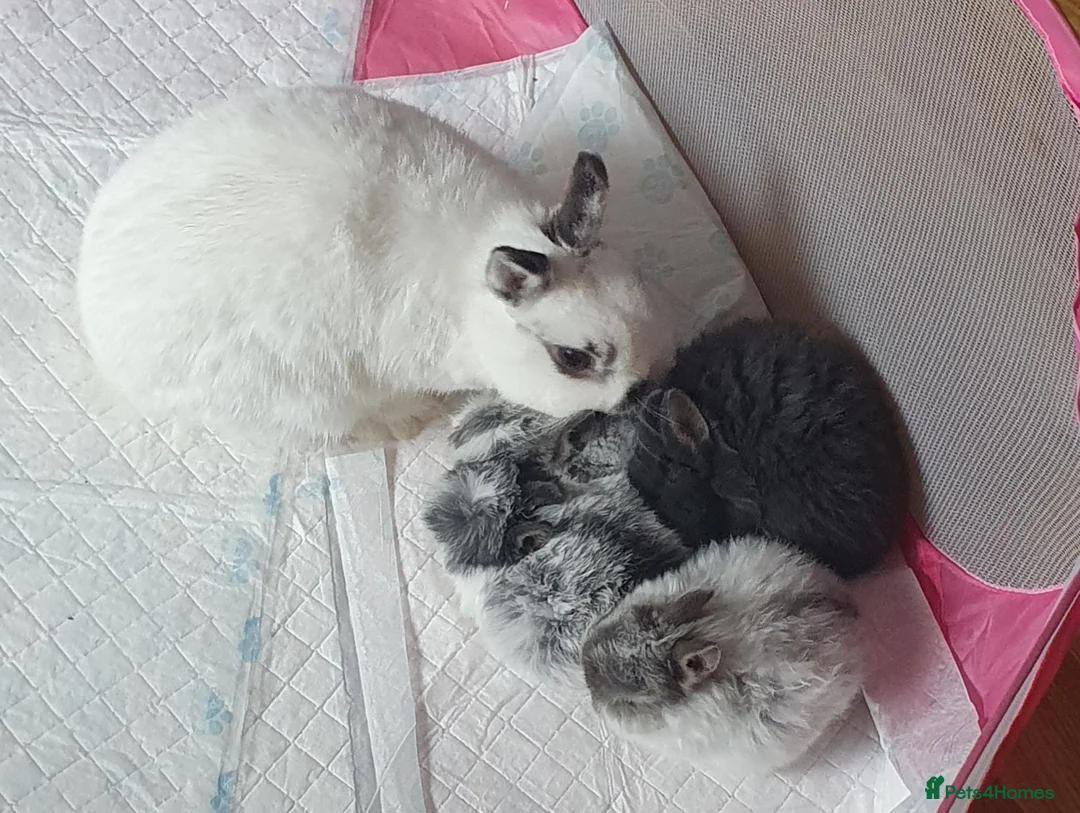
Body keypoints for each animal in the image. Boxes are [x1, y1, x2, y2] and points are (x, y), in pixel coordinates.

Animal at [76, 87, 675, 449]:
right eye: (572, 358)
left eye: (642, 287)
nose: (643, 388)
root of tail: (106, 351)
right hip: (304, 400)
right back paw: (408, 418)